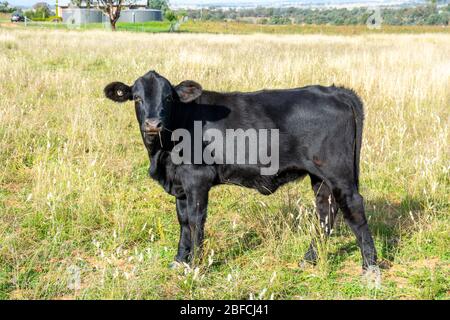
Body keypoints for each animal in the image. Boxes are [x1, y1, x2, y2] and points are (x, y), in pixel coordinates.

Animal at [104, 70, 376, 272]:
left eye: (168, 98)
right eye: (137, 98)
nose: (153, 124)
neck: (162, 153)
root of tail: (334, 91)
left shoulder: (197, 179)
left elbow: (195, 221)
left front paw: (195, 266)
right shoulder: (180, 184)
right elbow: (182, 221)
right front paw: (180, 261)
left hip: (336, 171)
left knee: (352, 206)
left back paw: (370, 266)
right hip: (320, 176)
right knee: (325, 210)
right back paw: (309, 259)